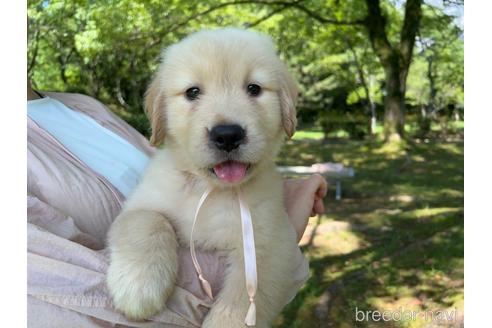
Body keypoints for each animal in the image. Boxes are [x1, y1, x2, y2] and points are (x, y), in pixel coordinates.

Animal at [105, 28, 300, 328]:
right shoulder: (140, 205)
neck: (209, 189)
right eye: (193, 92)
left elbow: (243, 299)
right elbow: (148, 221)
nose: (227, 135)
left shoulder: (272, 241)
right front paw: (139, 285)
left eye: (254, 89)